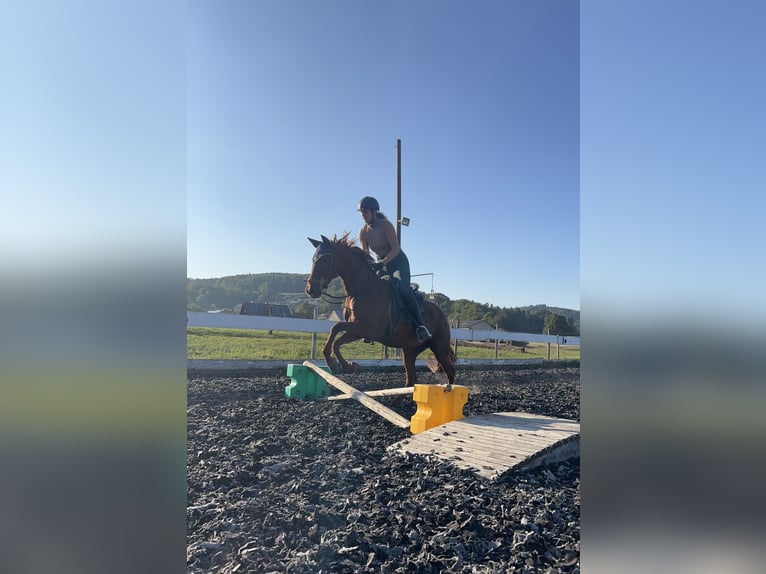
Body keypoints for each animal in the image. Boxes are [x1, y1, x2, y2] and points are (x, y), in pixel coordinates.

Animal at [306, 234, 456, 392]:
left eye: (324, 260)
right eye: (313, 259)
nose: (311, 289)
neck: (362, 289)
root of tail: (443, 316)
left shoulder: (370, 329)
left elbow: (336, 330)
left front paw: (340, 364)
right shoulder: (358, 330)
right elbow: (336, 334)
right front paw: (339, 363)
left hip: (439, 348)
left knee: (450, 372)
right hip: (409, 350)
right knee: (411, 379)